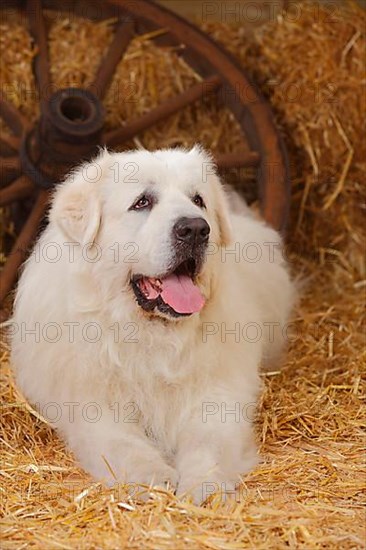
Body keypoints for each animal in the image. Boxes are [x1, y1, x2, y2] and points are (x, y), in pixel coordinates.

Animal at [10, 147, 294, 504]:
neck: (151, 337)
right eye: (142, 202)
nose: (196, 229)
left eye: (198, 200)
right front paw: (154, 479)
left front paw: (203, 486)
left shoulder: (219, 397)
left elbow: (208, 443)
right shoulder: (92, 408)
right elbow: (124, 445)